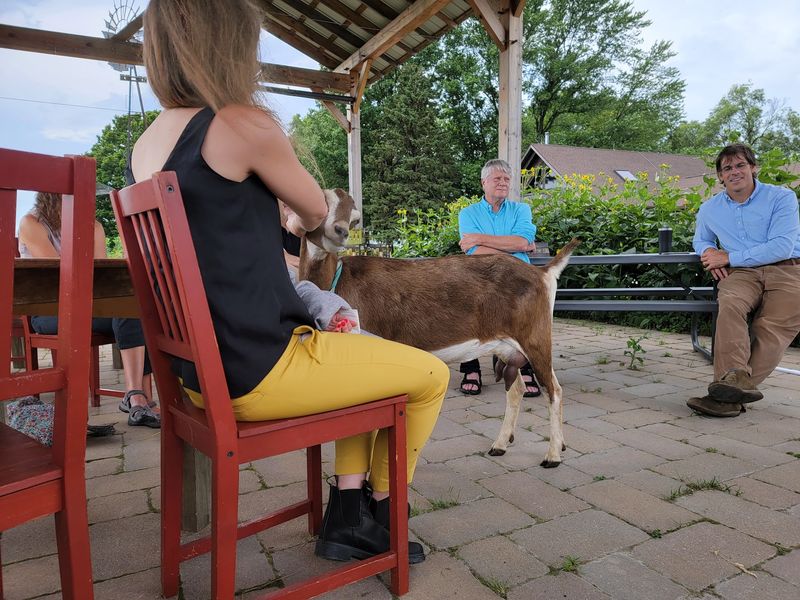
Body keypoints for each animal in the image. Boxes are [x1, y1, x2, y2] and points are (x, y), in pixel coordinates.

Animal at [299, 189, 579, 468]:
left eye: (353, 215)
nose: (339, 231)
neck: (336, 279)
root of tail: (542, 272)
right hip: (506, 346)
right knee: (517, 389)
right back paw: (503, 445)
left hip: (535, 337)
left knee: (553, 390)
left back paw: (553, 455)